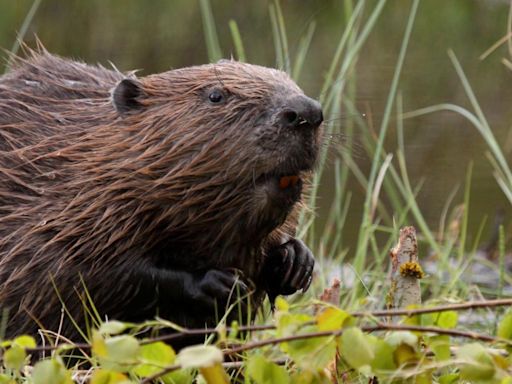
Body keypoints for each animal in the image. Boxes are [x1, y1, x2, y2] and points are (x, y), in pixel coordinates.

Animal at [0, 46, 320, 344]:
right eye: (216, 95)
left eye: (290, 82)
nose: (307, 112)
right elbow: (77, 272)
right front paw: (219, 284)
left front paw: (296, 261)